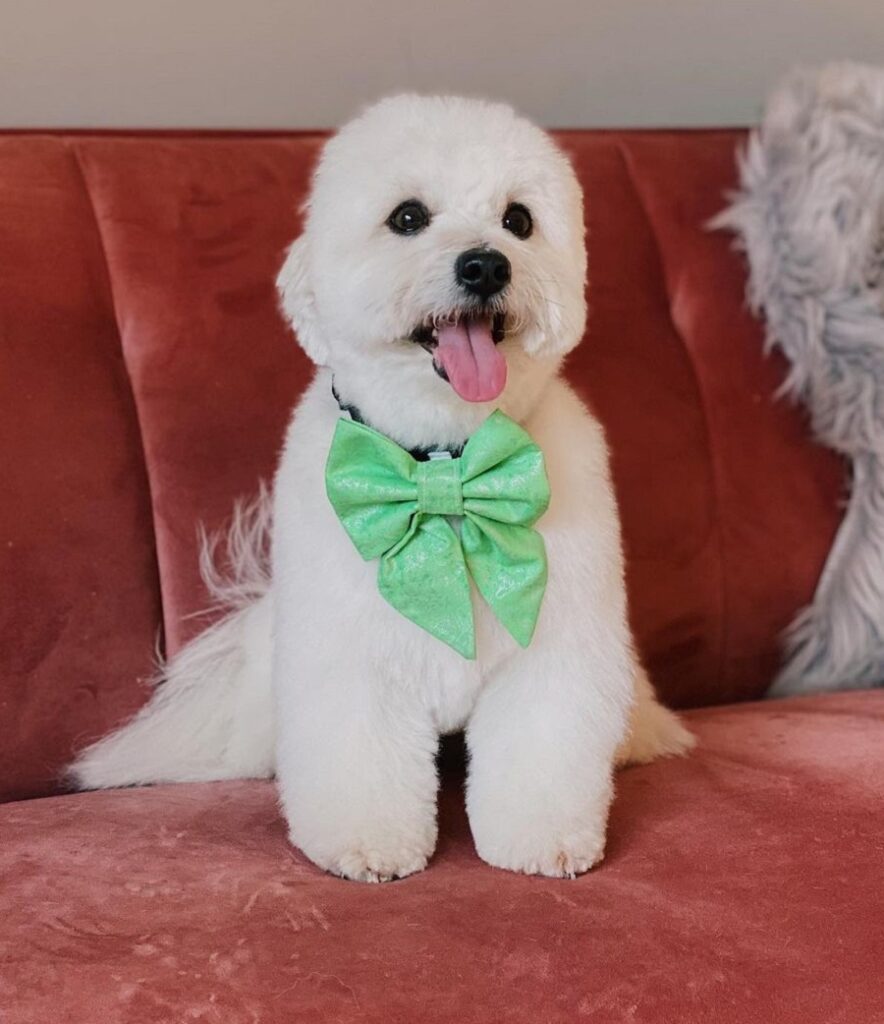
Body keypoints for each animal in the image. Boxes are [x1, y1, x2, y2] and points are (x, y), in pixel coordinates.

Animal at [72, 94, 696, 880]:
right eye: (407, 216)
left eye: (519, 220)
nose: (485, 264)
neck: (442, 465)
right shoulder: (349, 653)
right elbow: (359, 752)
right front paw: (367, 843)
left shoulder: (556, 643)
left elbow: (543, 742)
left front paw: (541, 837)